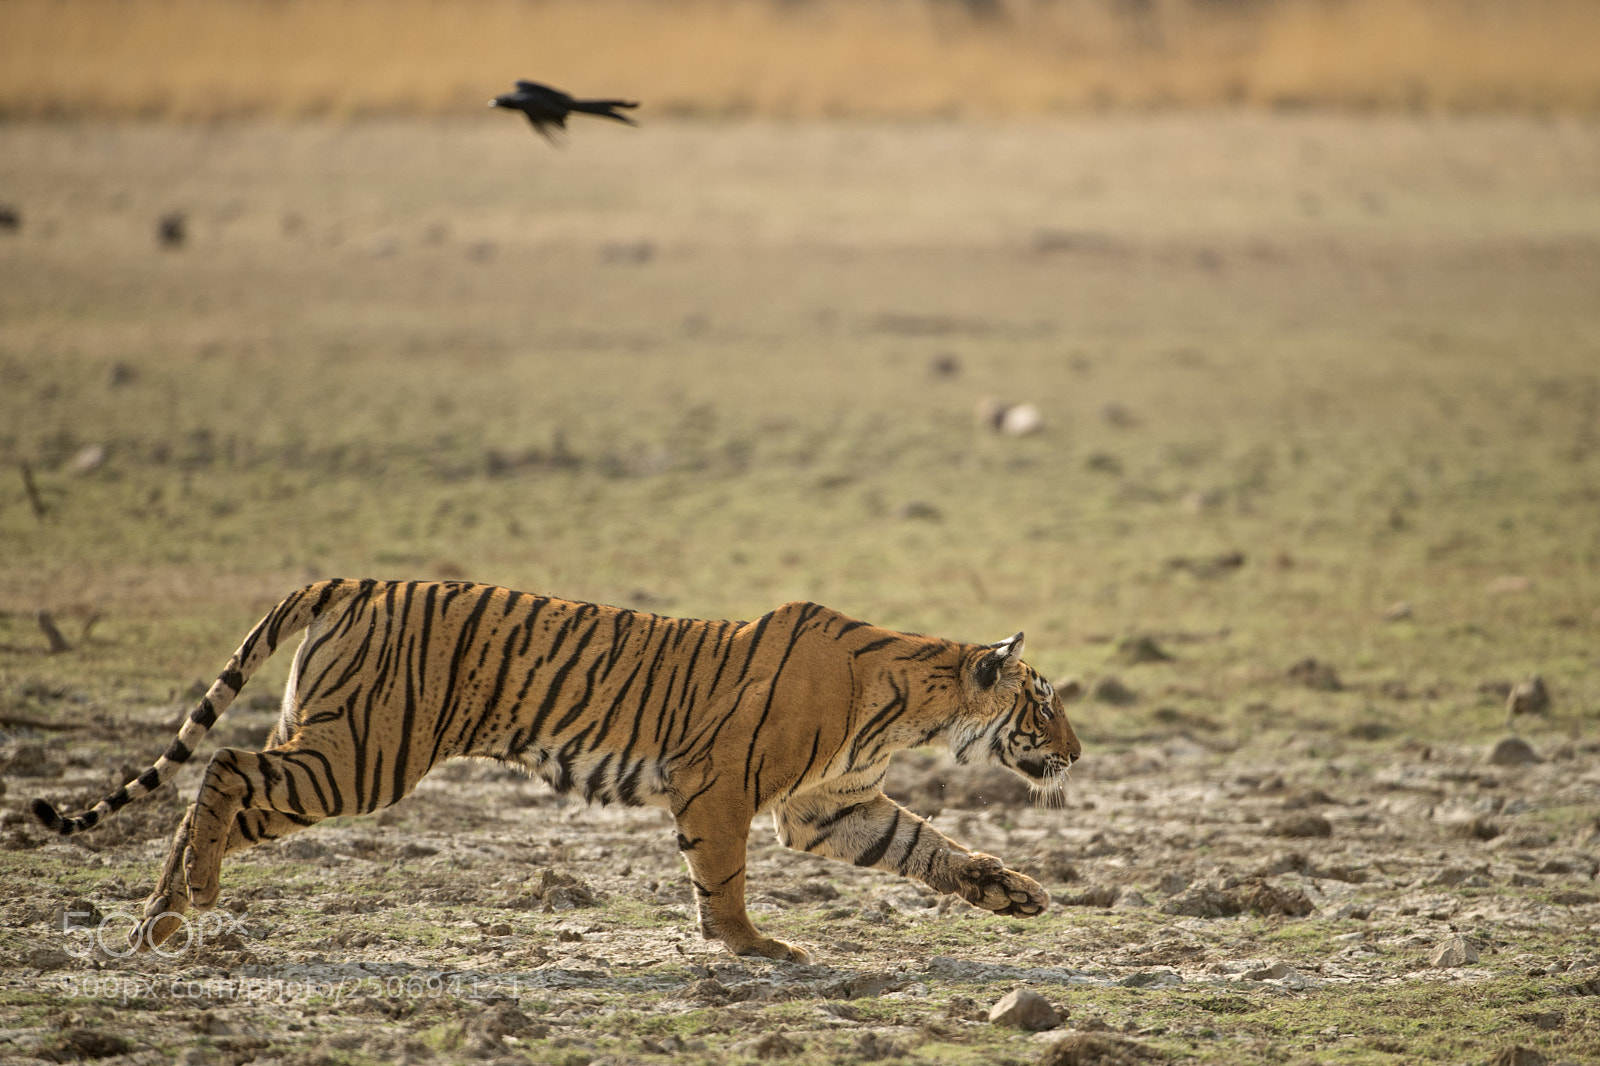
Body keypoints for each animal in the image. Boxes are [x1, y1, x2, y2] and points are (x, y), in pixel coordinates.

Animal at [33, 578, 1082, 963]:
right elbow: (724, 877)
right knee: (224, 769)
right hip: (363, 755)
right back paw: (190, 901)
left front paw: (1014, 893)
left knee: (213, 779)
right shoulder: (723, 786)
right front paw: (751, 946)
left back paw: (160, 917)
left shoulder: (831, 806)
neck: (914, 705)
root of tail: (354, 581)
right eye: (1045, 702)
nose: (1075, 754)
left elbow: (928, 847)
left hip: (336, 741)